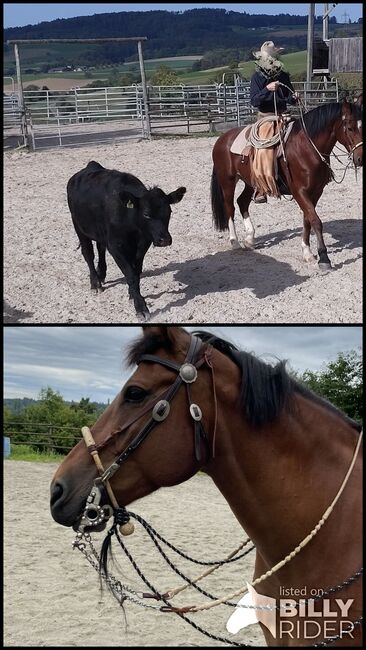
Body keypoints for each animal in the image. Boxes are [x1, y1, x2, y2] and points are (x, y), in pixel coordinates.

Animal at [212, 101, 364, 268]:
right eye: (350, 128)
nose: (361, 159)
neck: (307, 148)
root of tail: (222, 139)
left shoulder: (316, 192)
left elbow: (307, 220)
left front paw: (307, 252)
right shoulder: (299, 192)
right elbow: (316, 221)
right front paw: (324, 258)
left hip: (251, 182)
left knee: (242, 202)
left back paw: (250, 239)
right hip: (227, 181)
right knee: (230, 207)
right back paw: (234, 242)